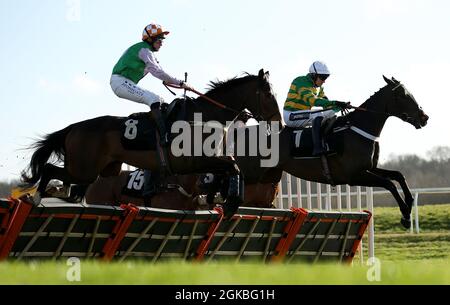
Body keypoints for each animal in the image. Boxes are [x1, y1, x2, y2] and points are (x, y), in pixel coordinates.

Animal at [22, 69, 282, 216]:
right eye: (269, 94)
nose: (279, 121)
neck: (204, 116)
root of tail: (73, 128)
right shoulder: (195, 161)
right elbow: (233, 166)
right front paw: (231, 202)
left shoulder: (207, 163)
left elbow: (231, 168)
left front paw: (224, 199)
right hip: (83, 169)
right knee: (49, 169)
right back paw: (35, 197)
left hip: (100, 171)